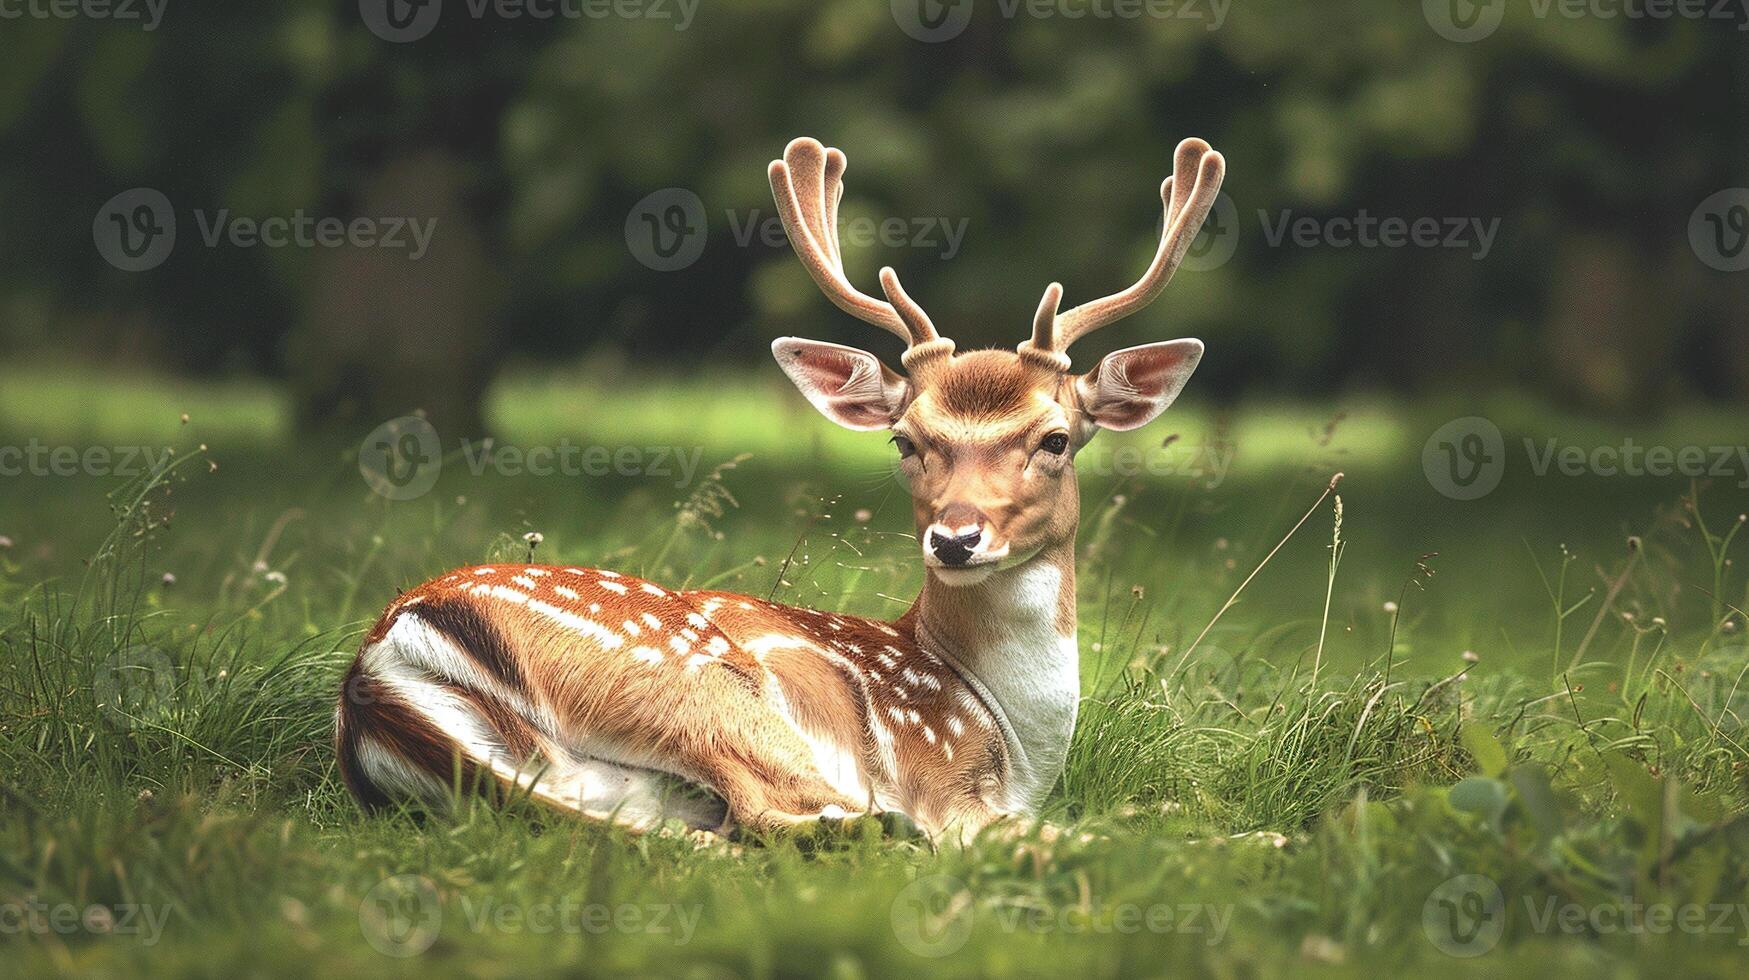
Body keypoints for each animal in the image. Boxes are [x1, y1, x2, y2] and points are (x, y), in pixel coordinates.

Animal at [330, 132, 1231, 843]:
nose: (954, 538)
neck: (1011, 736)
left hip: (576, 784)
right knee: (780, 811)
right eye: (906, 440)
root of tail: (378, 662)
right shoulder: (942, 773)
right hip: (693, 684)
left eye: (1055, 439)